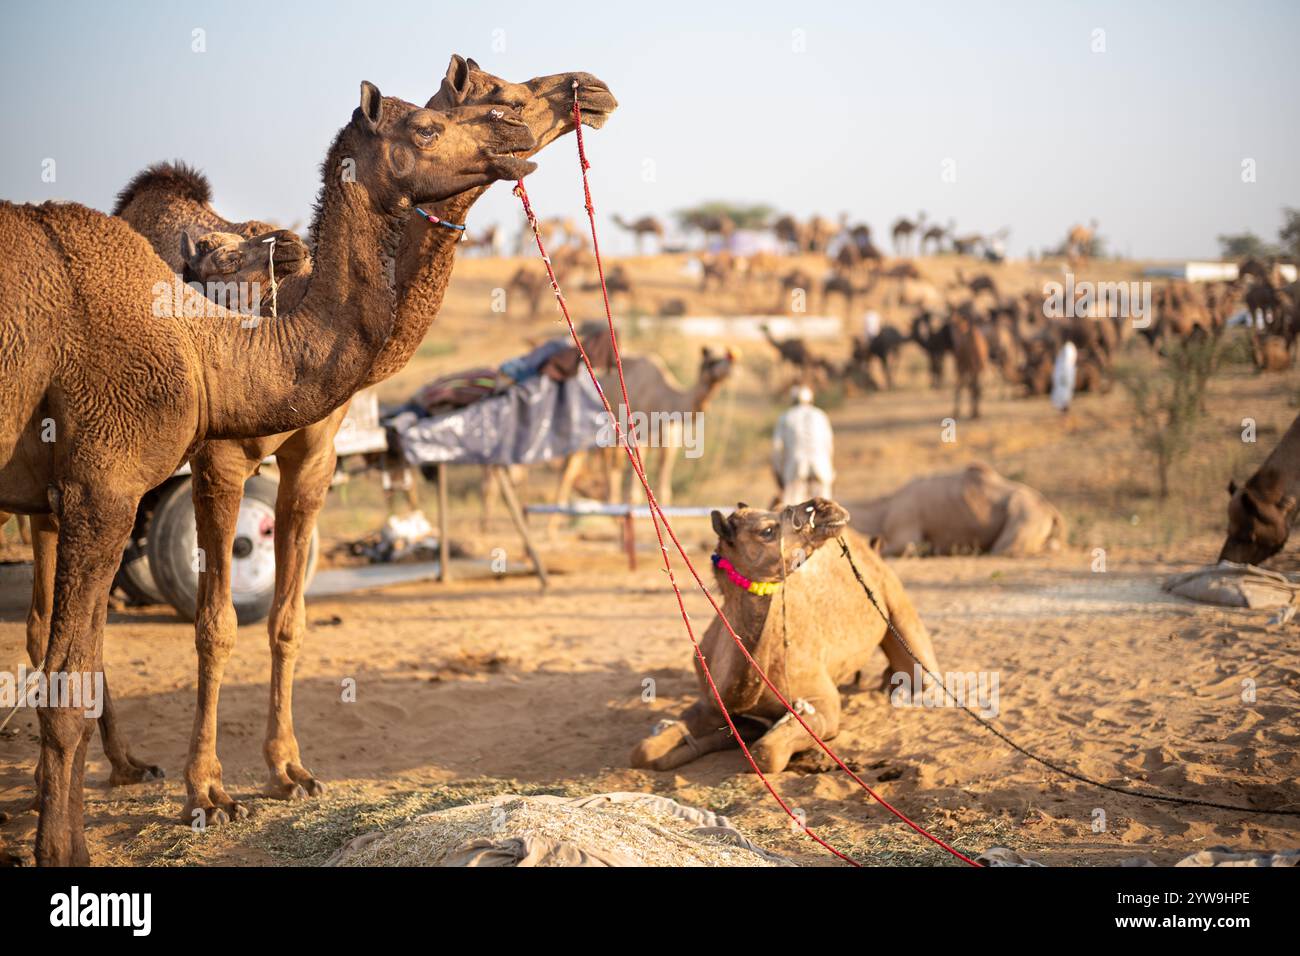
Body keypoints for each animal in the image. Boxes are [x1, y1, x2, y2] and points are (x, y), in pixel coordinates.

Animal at [0, 81, 546, 864]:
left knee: (64, 629)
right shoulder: (146, 477)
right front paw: (200, 797)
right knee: (51, 631)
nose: (513, 132)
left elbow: (287, 618)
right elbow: (206, 626)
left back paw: (129, 765)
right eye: (429, 122)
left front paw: (288, 771)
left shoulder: (303, 463)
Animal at [629, 497, 939, 773]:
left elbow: (766, 753)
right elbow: (643, 751)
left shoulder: (821, 701)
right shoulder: (711, 702)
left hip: (894, 597)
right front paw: (736, 731)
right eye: (766, 530)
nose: (823, 506)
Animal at [854, 463, 1067, 557]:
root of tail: (1053, 511)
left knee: (1005, 548)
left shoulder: (906, 529)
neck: (884, 509)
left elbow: (896, 549)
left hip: (1024, 515)